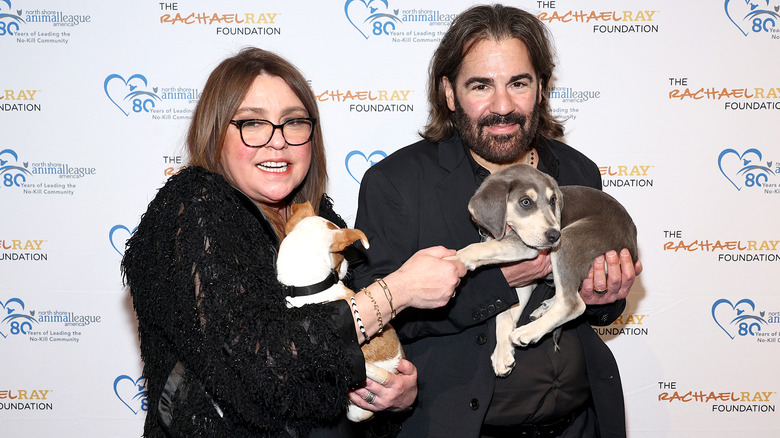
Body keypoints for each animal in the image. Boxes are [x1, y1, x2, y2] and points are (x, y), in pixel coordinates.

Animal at [448, 164, 636, 376]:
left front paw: (453, 260)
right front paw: (502, 353)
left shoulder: (526, 247)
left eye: (553, 200)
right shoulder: (523, 282)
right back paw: (544, 309)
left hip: (569, 241)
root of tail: (633, 245)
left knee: (573, 303)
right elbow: (503, 315)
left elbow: (479, 248)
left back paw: (528, 332)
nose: (554, 235)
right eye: (525, 202)